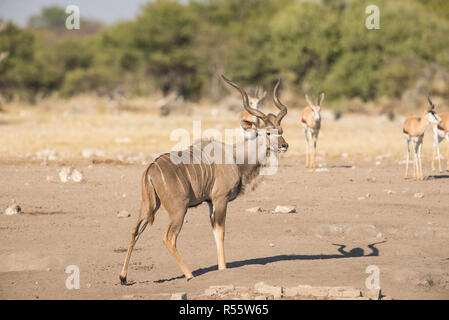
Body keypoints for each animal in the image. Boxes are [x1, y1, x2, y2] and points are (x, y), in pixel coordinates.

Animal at [119, 75, 288, 284]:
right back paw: (189, 274)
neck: (234, 157)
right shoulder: (220, 199)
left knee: (135, 230)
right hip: (178, 209)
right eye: (268, 132)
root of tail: (151, 169)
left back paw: (123, 277)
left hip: (149, 206)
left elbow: (215, 232)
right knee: (169, 238)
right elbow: (221, 232)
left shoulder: (209, 202)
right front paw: (223, 269)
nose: (284, 145)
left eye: (281, 130)